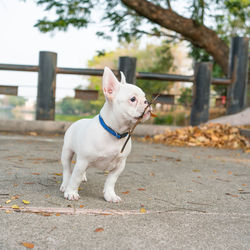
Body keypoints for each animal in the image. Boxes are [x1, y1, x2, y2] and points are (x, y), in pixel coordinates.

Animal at [59, 66, 151, 201]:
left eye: (144, 97)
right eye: (133, 99)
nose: (147, 102)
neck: (115, 132)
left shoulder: (119, 165)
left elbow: (111, 181)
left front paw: (110, 195)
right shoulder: (83, 161)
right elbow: (75, 178)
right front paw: (71, 192)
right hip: (67, 152)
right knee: (67, 170)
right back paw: (65, 185)